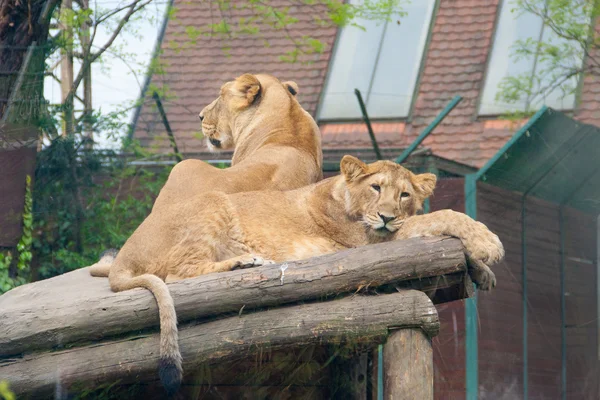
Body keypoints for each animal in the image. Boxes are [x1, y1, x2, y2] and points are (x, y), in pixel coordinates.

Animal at [106, 155, 502, 394]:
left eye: (404, 194)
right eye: (376, 188)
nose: (387, 215)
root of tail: (123, 253)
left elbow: (436, 224)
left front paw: (482, 271)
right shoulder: (370, 240)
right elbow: (442, 216)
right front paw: (489, 243)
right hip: (212, 202)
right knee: (178, 274)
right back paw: (247, 262)